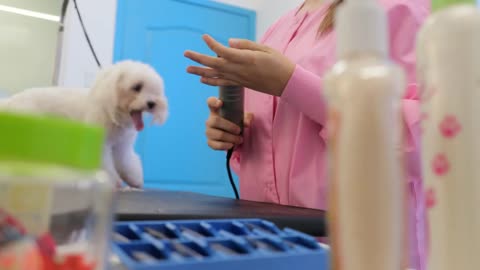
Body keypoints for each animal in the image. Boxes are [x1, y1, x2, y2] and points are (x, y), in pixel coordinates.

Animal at [0, 61, 169, 188]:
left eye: (155, 90)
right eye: (137, 87)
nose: (152, 103)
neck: (112, 113)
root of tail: (11, 100)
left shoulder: (122, 147)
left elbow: (127, 164)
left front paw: (135, 180)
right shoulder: (100, 146)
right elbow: (105, 166)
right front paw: (114, 182)